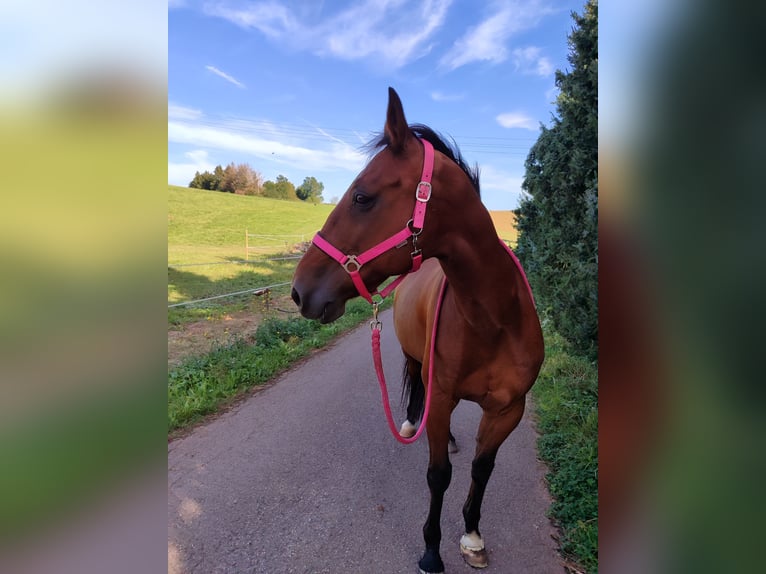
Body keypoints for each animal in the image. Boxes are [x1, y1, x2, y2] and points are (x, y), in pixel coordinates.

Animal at [290, 88, 544, 572]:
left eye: (362, 197)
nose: (299, 291)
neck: (495, 321)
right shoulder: (443, 398)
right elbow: (438, 474)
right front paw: (431, 550)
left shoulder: (509, 409)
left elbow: (481, 470)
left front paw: (472, 536)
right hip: (415, 360)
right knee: (417, 384)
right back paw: (413, 423)